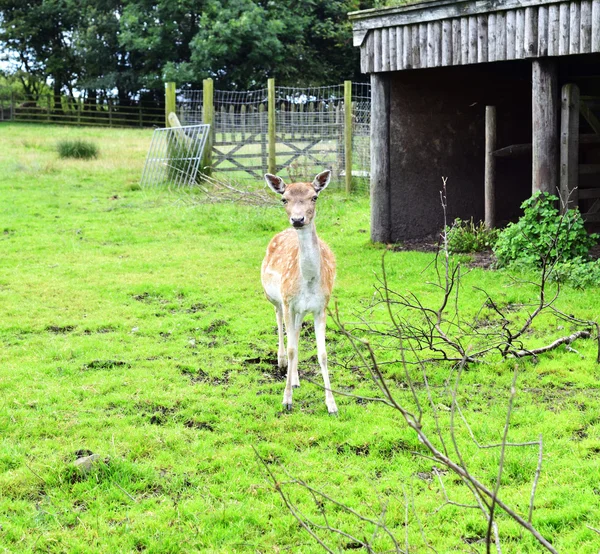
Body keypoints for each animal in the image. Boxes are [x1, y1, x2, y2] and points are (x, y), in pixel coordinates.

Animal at [262, 170, 340, 412]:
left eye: (314, 197)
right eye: (284, 199)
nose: (297, 220)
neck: (308, 281)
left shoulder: (320, 307)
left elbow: (322, 353)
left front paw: (332, 405)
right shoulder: (288, 302)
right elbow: (291, 348)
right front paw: (286, 401)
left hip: (300, 310)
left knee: (295, 333)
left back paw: (295, 379)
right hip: (275, 299)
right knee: (280, 324)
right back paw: (281, 363)